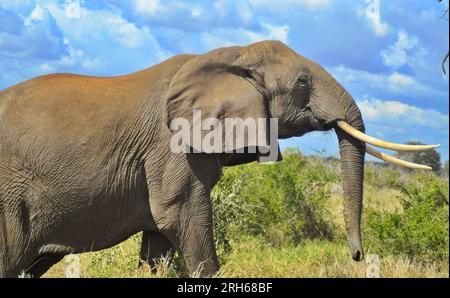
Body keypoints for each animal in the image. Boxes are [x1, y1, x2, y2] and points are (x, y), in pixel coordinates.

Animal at [0, 39, 436, 278]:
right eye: (301, 83)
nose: (359, 256)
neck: (233, 54)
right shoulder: (171, 147)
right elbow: (181, 217)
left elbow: (159, 241)